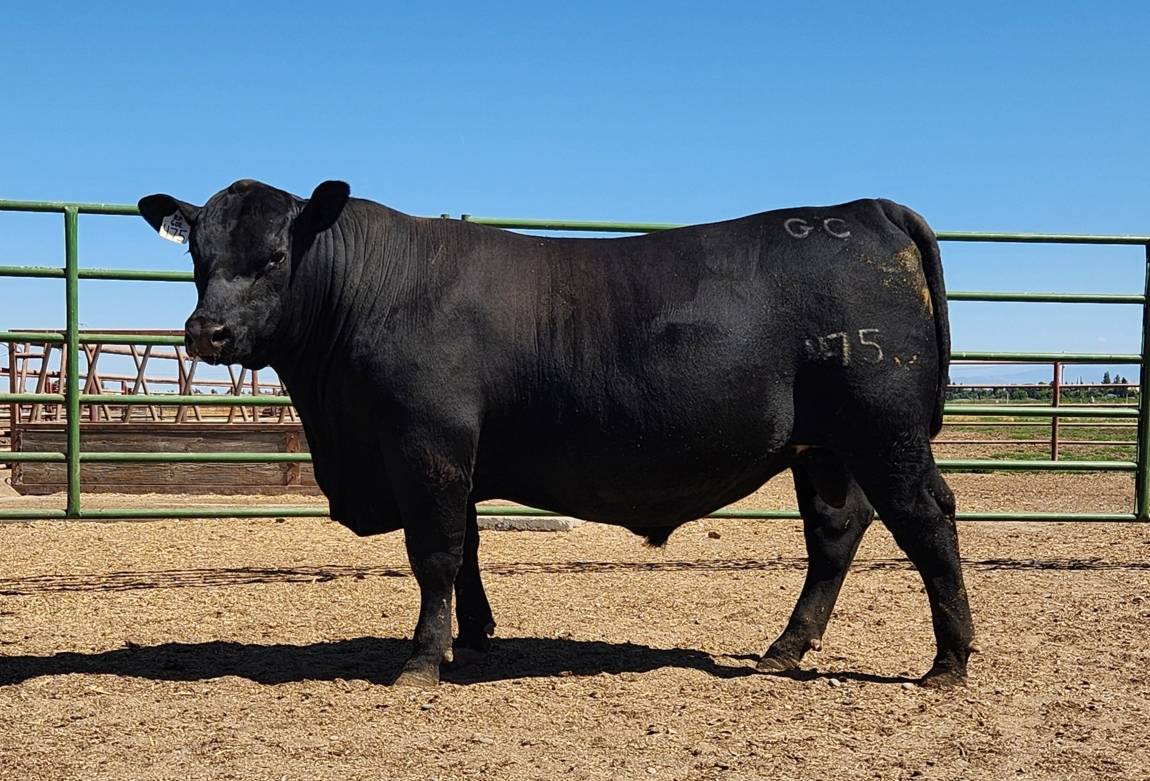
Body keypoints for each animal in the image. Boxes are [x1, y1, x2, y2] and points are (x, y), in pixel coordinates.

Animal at [137, 179, 973, 689]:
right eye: (198, 254)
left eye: (274, 254)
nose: (206, 331)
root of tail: (864, 207)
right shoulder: (456, 457)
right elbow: (469, 546)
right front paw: (475, 632)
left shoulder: (427, 446)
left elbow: (434, 551)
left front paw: (423, 656)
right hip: (824, 446)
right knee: (835, 530)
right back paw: (784, 649)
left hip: (885, 431)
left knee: (925, 520)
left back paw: (949, 659)